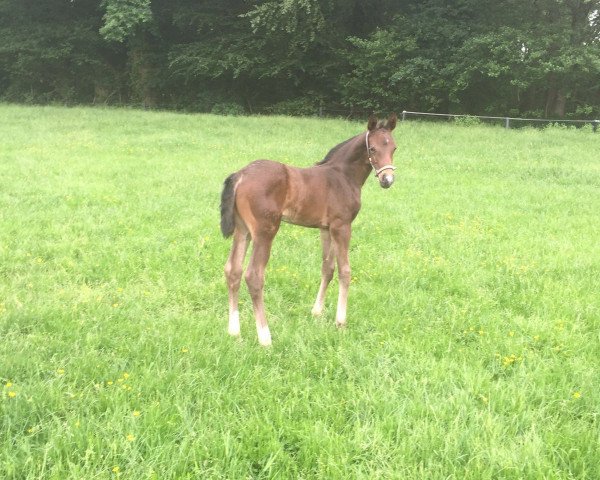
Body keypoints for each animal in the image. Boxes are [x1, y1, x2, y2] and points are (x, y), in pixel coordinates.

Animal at [220, 114, 398, 346]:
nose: (387, 180)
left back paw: (234, 332)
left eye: (394, 148)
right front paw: (340, 322)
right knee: (253, 275)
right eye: (373, 149)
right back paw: (265, 337)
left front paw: (317, 312)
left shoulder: (326, 228)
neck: (342, 176)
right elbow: (345, 271)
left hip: (243, 231)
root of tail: (240, 175)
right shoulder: (342, 226)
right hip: (265, 231)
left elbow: (327, 268)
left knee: (233, 270)